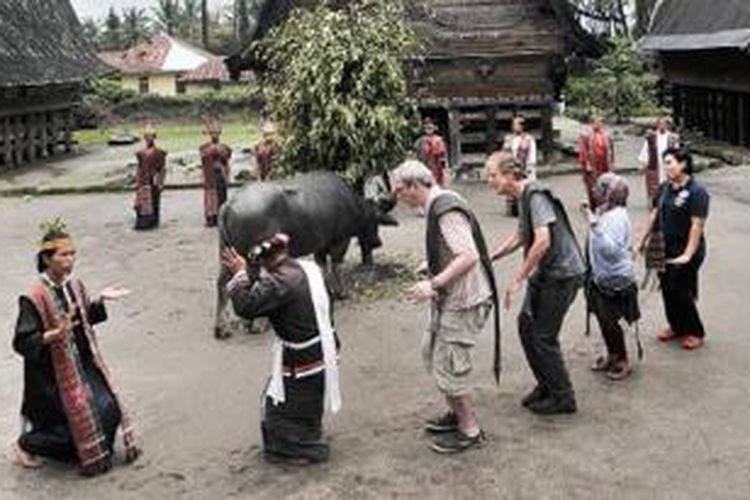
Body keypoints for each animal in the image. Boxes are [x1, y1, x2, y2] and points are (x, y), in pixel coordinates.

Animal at [214, 172, 396, 340]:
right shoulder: (340, 241)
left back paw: (224, 327)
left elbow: (322, 266)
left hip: (228, 253)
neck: (353, 205)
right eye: (375, 221)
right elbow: (336, 266)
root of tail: (229, 204)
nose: (377, 242)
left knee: (224, 283)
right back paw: (258, 323)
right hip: (257, 255)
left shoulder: (320, 245)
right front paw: (341, 293)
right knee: (255, 280)